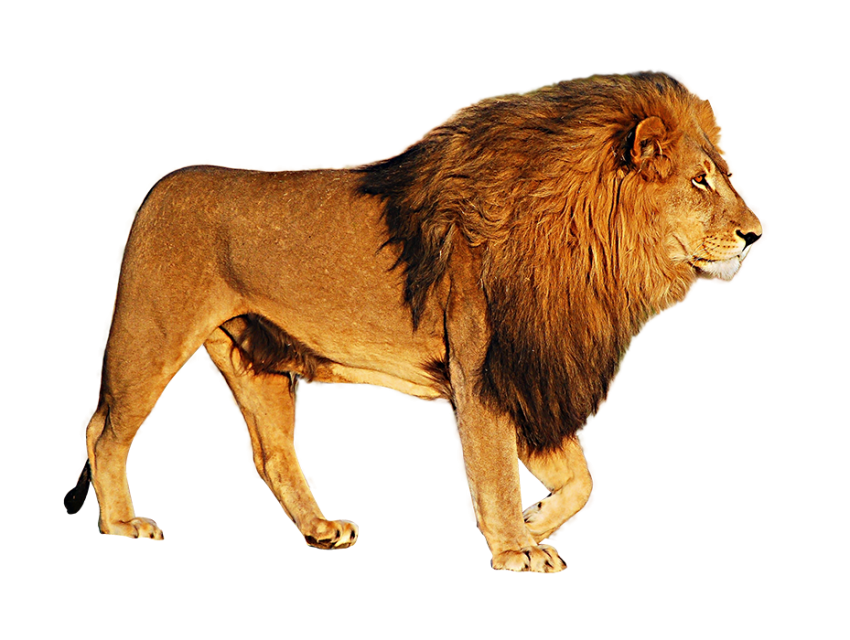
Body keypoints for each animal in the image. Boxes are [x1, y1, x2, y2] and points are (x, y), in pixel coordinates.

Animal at [64, 69, 765, 573]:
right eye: (701, 181)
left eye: (727, 175)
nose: (758, 233)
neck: (594, 254)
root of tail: (160, 187)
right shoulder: (484, 373)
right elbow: (496, 468)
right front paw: (515, 548)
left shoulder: (531, 375)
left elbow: (584, 478)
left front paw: (534, 521)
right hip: (150, 335)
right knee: (104, 429)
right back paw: (121, 524)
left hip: (259, 360)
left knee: (273, 455)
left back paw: (321, 531)